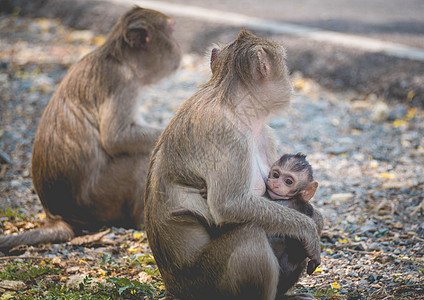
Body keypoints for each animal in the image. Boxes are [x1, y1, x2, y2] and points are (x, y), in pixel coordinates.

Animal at [0, 7, 181, 250]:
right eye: (170, 31)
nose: (179, 46)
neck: (120, 59)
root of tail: (55, 216)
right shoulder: (122, 82)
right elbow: (116, 138)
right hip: (100, 197)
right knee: (140, 158)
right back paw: (141, 222)